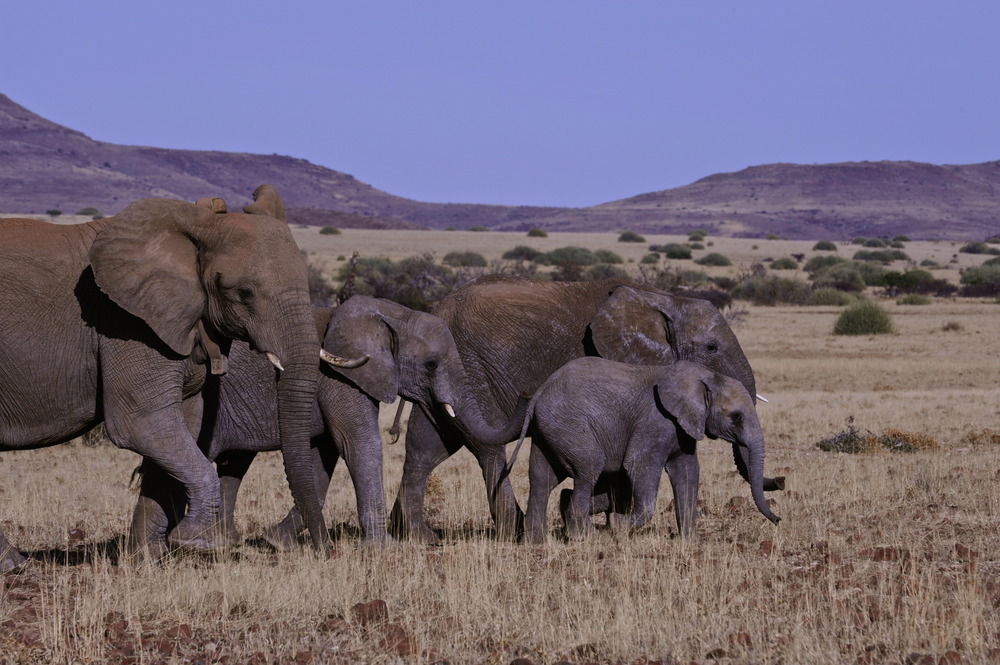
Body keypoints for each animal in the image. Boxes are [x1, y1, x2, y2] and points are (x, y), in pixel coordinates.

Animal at [0, 184, 328, 568]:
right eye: (243, 293)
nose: (324, 550)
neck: (195, 225)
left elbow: (181, 424)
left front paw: (148, 559)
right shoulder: (127, 322)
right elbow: (141, 424)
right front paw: (198, 543)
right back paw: (14, 565)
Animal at [129, 296, 516, 548]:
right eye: (432, 364)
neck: (391, 314)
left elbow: (323, 459)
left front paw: (276, 542)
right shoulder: (340, 377)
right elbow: (358, 444)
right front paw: (384, 550)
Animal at [512, 356, 784, 544]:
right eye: (736, 417)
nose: (779, 519)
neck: (705, 377)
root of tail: (539, 393)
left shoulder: (682, 427)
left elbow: (688, 472)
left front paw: (693, 542)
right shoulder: (655, 422)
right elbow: (639, 467)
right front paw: (619, 527)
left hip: (550, 430)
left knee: (542, 478)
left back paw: (538, 541)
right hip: (568, 425)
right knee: (587, 469)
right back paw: (584, 537)